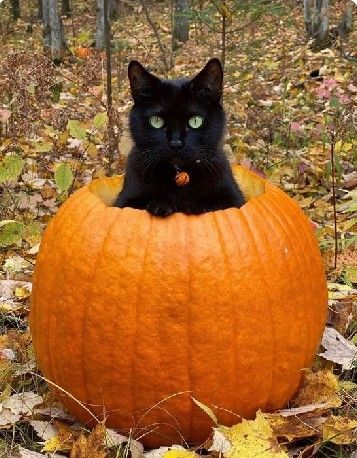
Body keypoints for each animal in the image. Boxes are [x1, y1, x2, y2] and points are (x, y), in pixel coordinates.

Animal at [114, 58, 245, 216]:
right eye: (156, 121)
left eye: (195, 121)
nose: (176, 143)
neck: (179, 173)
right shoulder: (125, 199)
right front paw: (161, 205)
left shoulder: (233, 197)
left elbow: (215, 204)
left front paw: (193, 205)